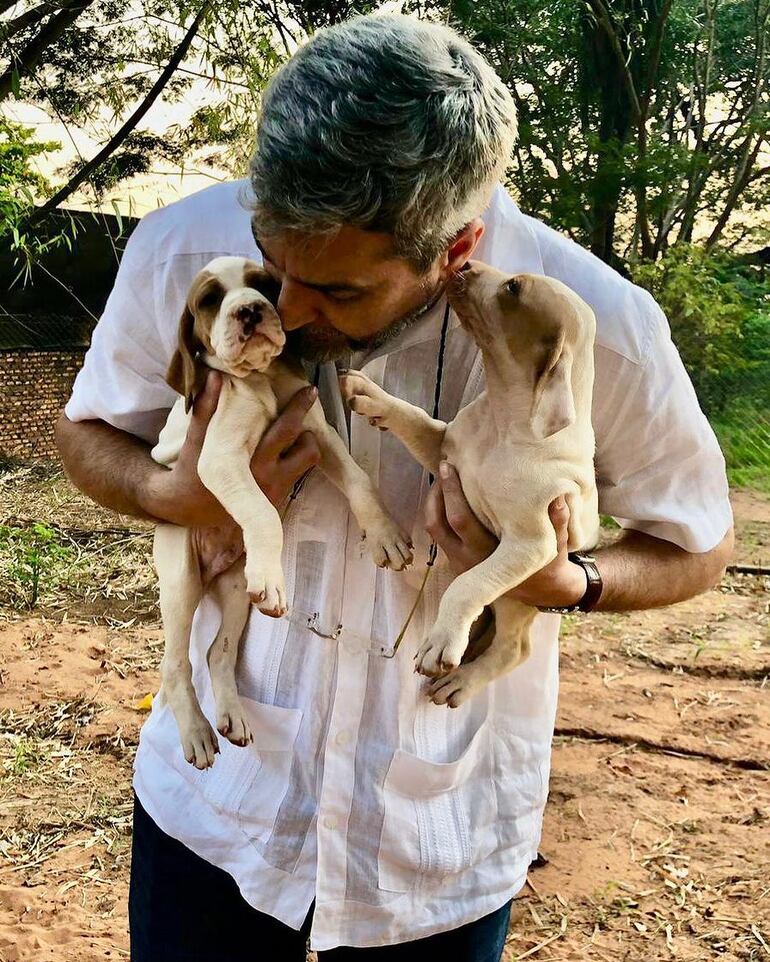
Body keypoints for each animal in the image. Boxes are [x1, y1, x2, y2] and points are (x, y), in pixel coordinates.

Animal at [152, 255, 414, 764]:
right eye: (210, 299)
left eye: (263, 286)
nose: (250, 310)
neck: (262, 378)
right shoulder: (219, 459)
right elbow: (262, 513)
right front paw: (275, 579)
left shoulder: (319, 435)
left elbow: (359, 480)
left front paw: (385, 534)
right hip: (180, 581)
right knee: (175, 664)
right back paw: (196, 732)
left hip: (237, 587)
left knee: (217, 651)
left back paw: (232, 717)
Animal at [340, 262, 600, 704]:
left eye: (513, 288)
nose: (464, 265)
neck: (503, 420)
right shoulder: (444, 449)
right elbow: (413, 417)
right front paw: (371, 394)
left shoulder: (532, 543)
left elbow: (469, 583)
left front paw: (442, 640)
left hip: (517, 598)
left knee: (514, 647)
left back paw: (461, 679)